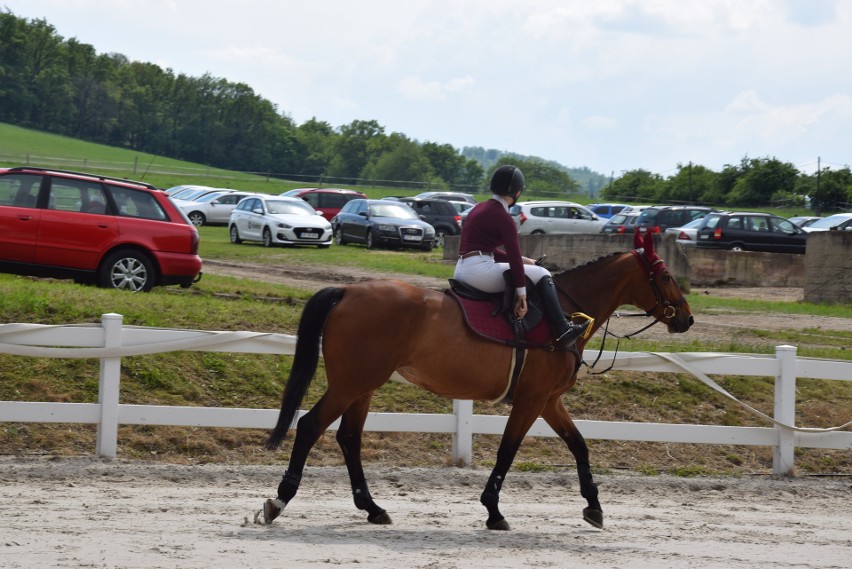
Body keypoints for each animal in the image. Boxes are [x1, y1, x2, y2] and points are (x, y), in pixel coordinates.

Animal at [264, 229, 692, 532]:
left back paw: (372, 507)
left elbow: (579, 447)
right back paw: (279, 500)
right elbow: (508, 451)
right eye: (666, 275)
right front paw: (493, 510)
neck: (565, 314)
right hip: (351, 385)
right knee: (310, 426)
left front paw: (594, 506)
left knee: (349, 438)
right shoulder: (532, 400)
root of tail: (348, 289)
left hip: (362, 386)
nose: (687, 319)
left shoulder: (549, 400)